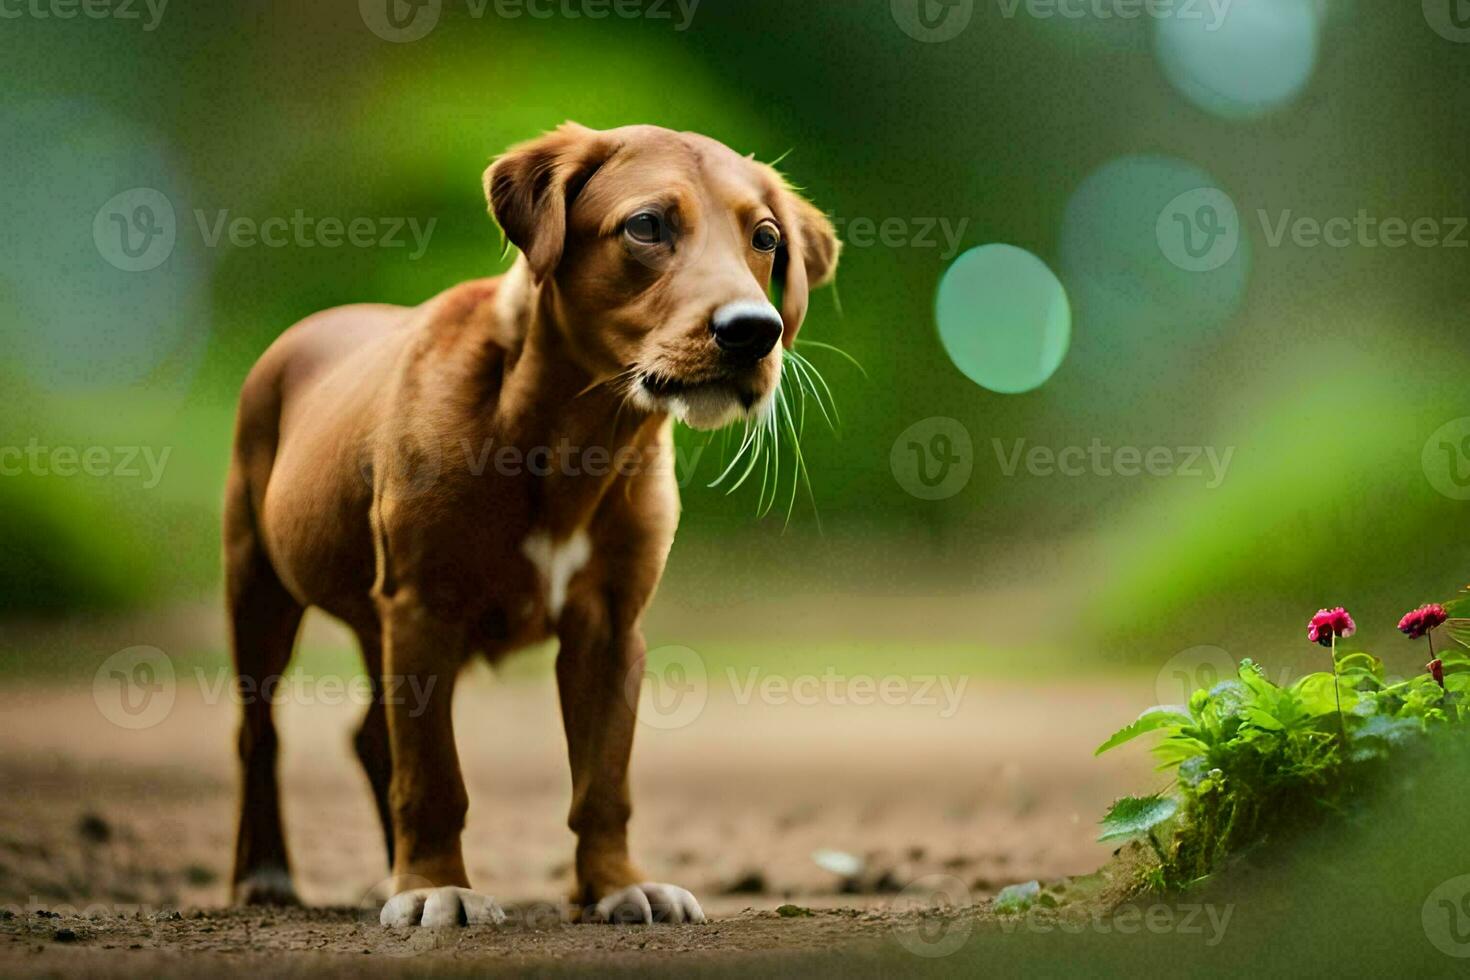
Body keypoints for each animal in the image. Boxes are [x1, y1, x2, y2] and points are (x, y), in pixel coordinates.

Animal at [220, 122, 840, 928]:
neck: (575, 432)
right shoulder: (422, 606)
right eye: (647, 226)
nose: (755, 332)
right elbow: (433, 775)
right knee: (259, 734)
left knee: (369, 738)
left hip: (370, 614)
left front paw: (616, 884)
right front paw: (433, 888)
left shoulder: (609, 625)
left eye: (765, 239)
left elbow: (603, 781)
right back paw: (266, 874)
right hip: (256, 581)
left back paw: (382, 874)